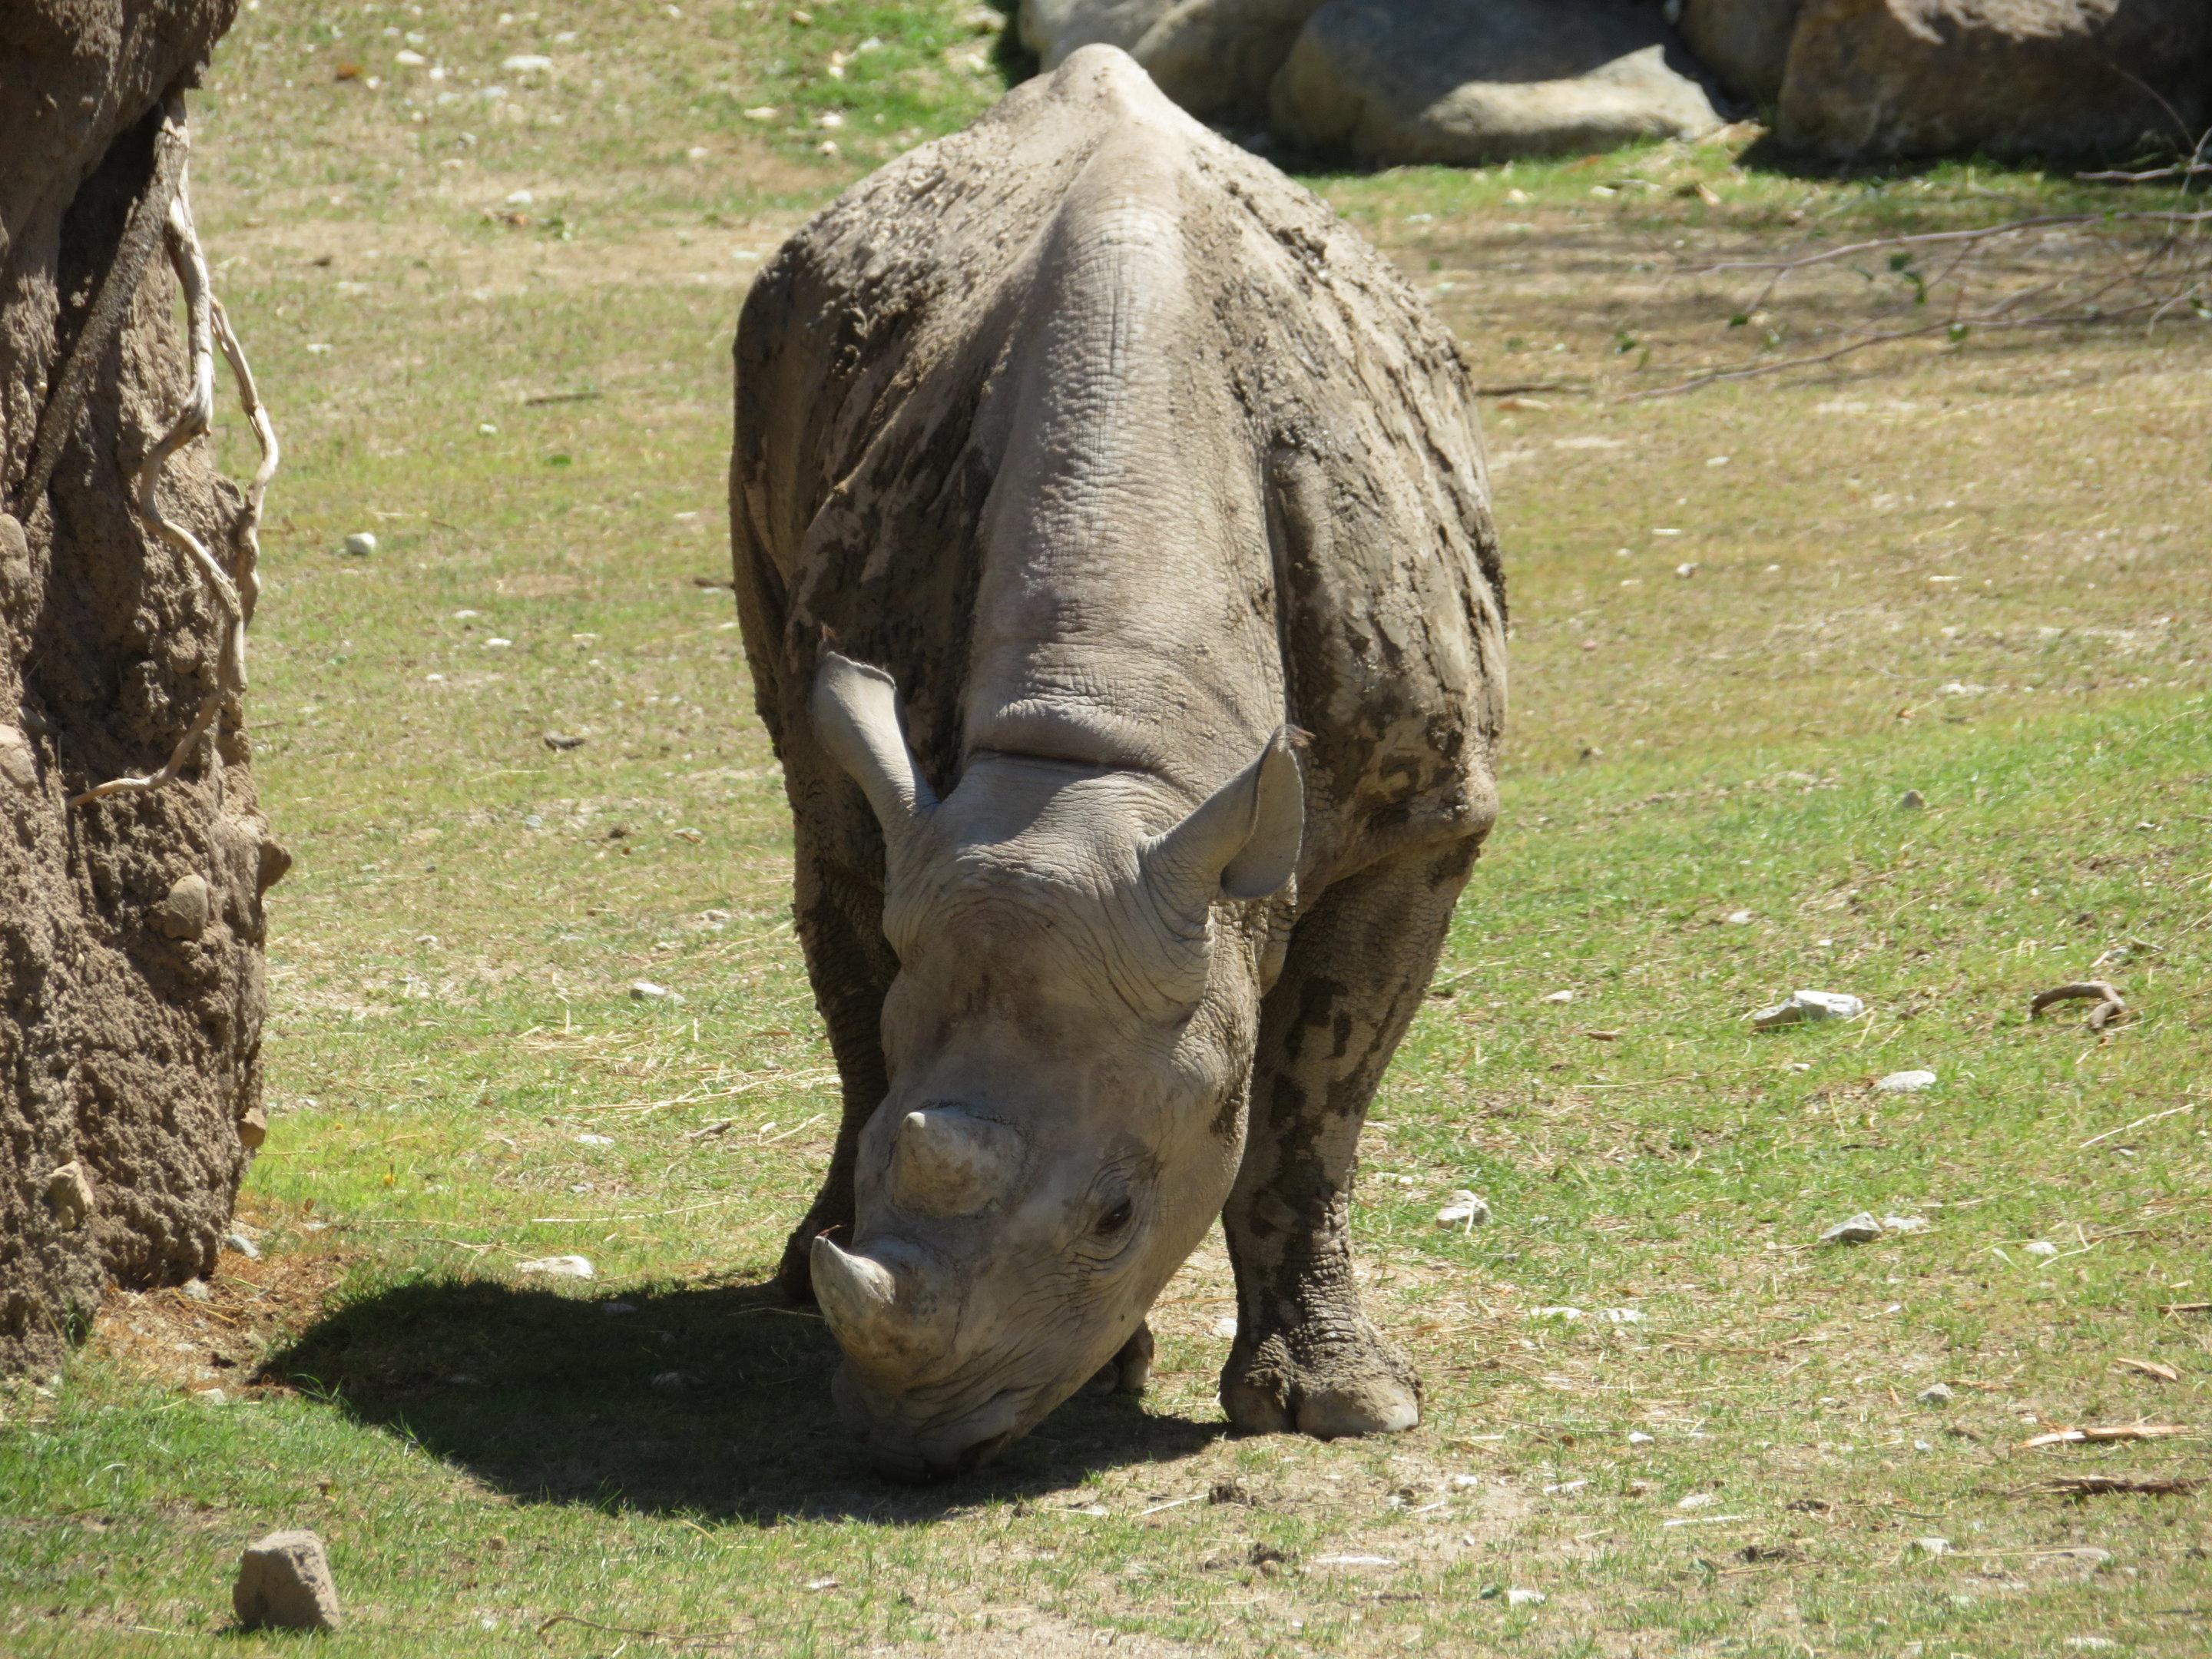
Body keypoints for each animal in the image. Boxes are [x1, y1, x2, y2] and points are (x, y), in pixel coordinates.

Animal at [728, 46, 1505, 1480]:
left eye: (1116, 1217)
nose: (916, 1438)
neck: (1104, 755)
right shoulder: (910, 817)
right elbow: (871, 1003)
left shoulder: (1424, 817)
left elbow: (1309, 1114)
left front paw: (1345, 1409)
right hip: (767, 361)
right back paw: (796, 1278)